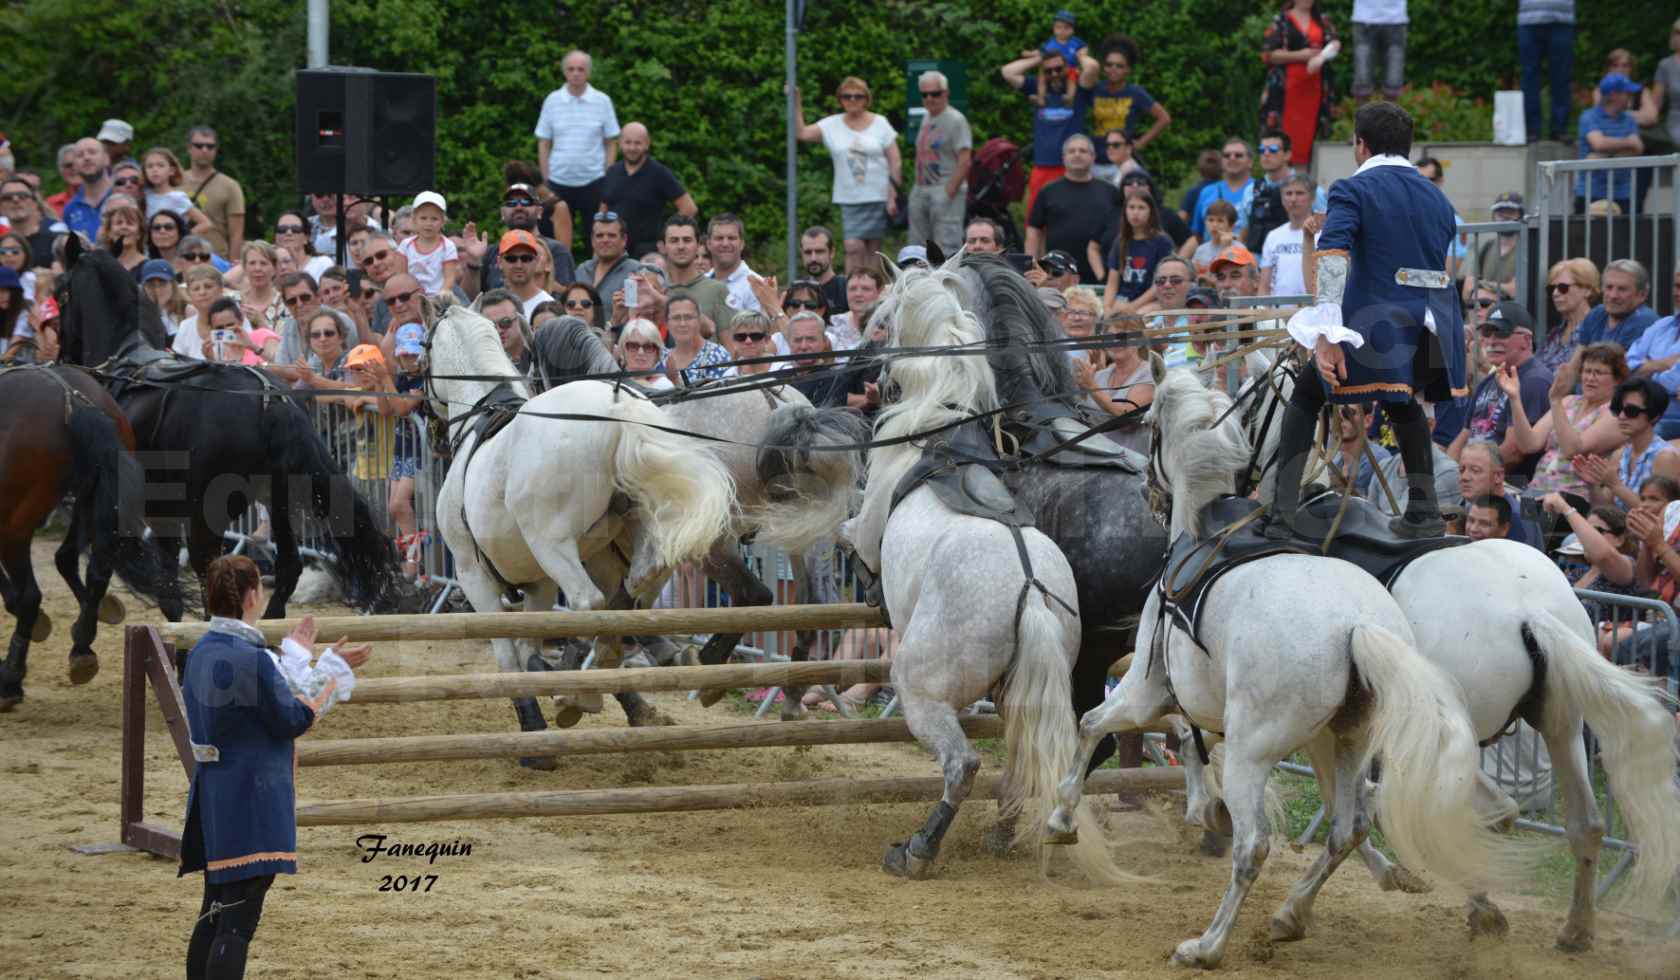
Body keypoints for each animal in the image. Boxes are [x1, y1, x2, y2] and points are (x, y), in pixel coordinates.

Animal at [56, 238, 399, 618]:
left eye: (60, 293)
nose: (62, 353)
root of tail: (273, 403)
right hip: (276, 498)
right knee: (288, 567)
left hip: (211, 511)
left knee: (213, 572)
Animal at [423, 302, 732, 763]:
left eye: (421, 350)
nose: (432, 431)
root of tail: (618, 408)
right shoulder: (537, 582)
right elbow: (527, 646)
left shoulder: (474, 575)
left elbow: (509, 654)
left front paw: (533, 733)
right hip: (636, 533)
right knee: (635, 589)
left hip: (553, 546)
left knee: (590, 602)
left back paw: (580, 691)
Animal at [846, 268, 1108, 880]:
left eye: (880, 320)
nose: (865, 374)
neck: (939, 431)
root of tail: (1030, 590)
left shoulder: (865, 531)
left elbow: (849, 535)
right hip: (1025, 693)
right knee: (1019, 769)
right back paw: (1005, 834)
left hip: (921, 690)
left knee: (962, 764)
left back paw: (917, 850)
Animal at [1041, 358, 1518, 968]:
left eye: (1147, 425)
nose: (1147, 490)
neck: (1207, 528)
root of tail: (1356, 625)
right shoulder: (1195, 703)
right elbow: (1181, 738)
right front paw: (1202, 810)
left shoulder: (1147, 688)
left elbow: (1091, 724)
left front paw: (1061, 819)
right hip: (1348, 742)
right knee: (1347, 827)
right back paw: (1294, 914)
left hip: (1256, 750)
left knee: (1256, 846)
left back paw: (1207, 945)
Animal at [1223, 353, 1680, 948]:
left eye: (1248, 407)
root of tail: (1529, 614)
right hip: (1560, 723)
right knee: (1582, 822)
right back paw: (1571, 928)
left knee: (1474, 812)